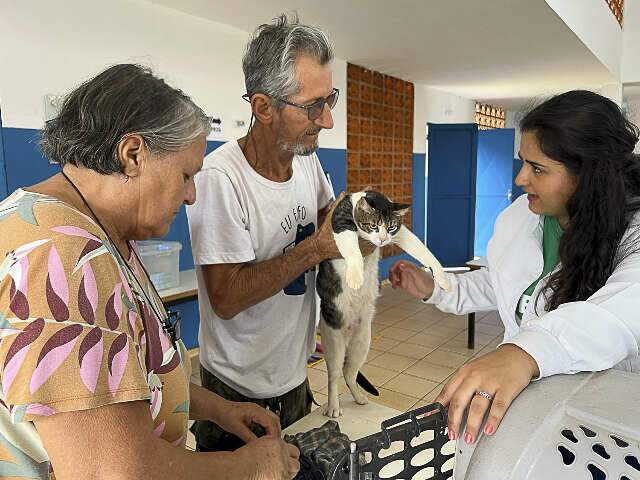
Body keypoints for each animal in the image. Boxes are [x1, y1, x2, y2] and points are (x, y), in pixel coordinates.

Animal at [316, 191, 450, 416]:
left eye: (391, 227)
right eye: (373, 226)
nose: (382, 239)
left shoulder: (402, 232)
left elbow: (423, 250)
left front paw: (442, 277)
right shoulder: (340, 221)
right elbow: (353, 250)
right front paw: (355, 275)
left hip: (362, 342)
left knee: (349, 373)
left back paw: (359, 397)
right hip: (333, 341)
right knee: (333, 375)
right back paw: (333, 406)